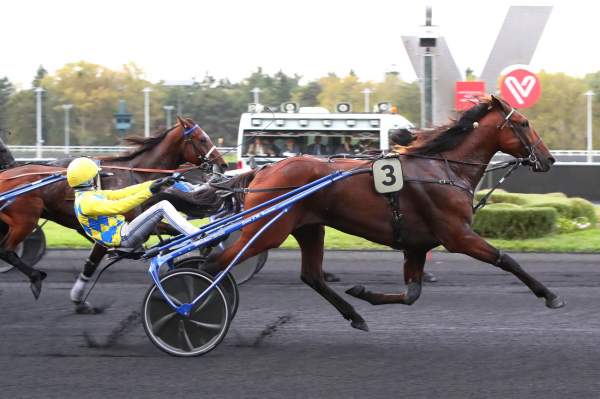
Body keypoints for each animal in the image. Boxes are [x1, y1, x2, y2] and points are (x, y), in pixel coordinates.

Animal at [0, 117, 225, 298]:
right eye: (202, 139)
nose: (222, 164)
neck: (135, 173)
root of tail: (5, 176)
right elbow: (93, 262)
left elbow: (168, 229)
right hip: (25, 220)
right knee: (7, 251)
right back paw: (35, 277)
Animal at [207, 96, 564, 332]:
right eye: (523, 123)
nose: (549, 159)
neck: (443, 169)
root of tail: (264, 171)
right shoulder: (458, 235)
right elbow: (507, 260)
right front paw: (550, 295)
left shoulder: (417, 245)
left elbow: (411, 294)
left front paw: (364, 292)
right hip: (270, 230)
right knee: (217, 264)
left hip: (309, 228)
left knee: (311, 275)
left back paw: (354, 315)